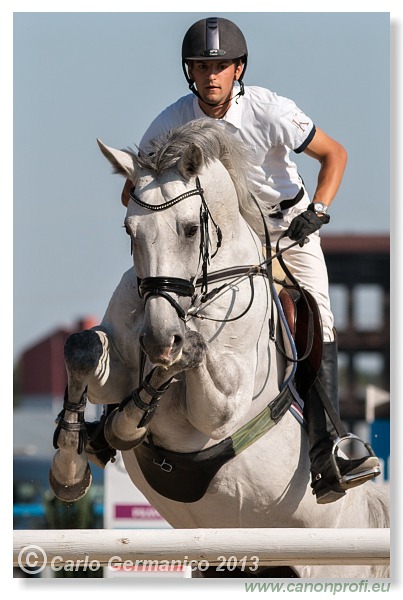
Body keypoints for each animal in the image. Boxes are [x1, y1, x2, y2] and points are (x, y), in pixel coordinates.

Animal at [49, 118, 390, 576]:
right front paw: (70, 468)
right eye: (129, 231)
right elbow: (83, 346)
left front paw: (127, 424)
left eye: (191, 229)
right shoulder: (118, 369)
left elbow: (189, 354)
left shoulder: (223, 405)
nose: (156, 338)